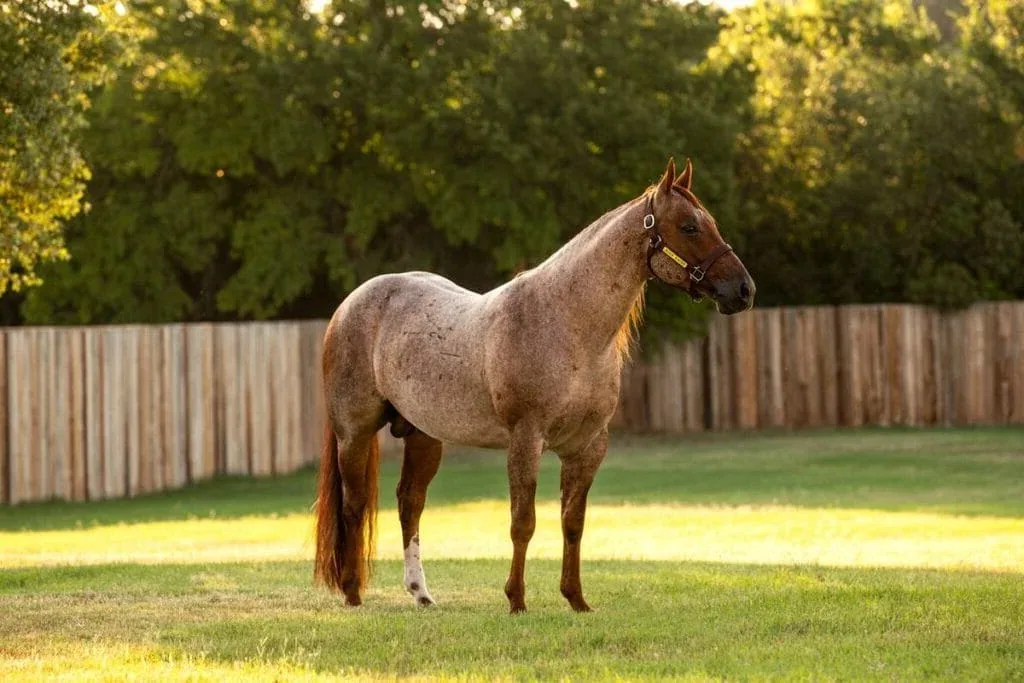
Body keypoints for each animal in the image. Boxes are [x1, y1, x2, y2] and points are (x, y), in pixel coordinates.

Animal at [314, 158, 755, 613]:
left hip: (423, 436)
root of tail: (351, 304)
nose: (743, 290)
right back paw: (352, 593)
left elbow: (573, 523)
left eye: (710, 223)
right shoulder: (526, 440)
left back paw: (421, 593)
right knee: (354, 506)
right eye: (689, 226)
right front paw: (516, 600)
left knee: (409, 503)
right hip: (354, 433)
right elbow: (522, 522)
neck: (565, 324)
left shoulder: (587, 446)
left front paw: (576, 599)